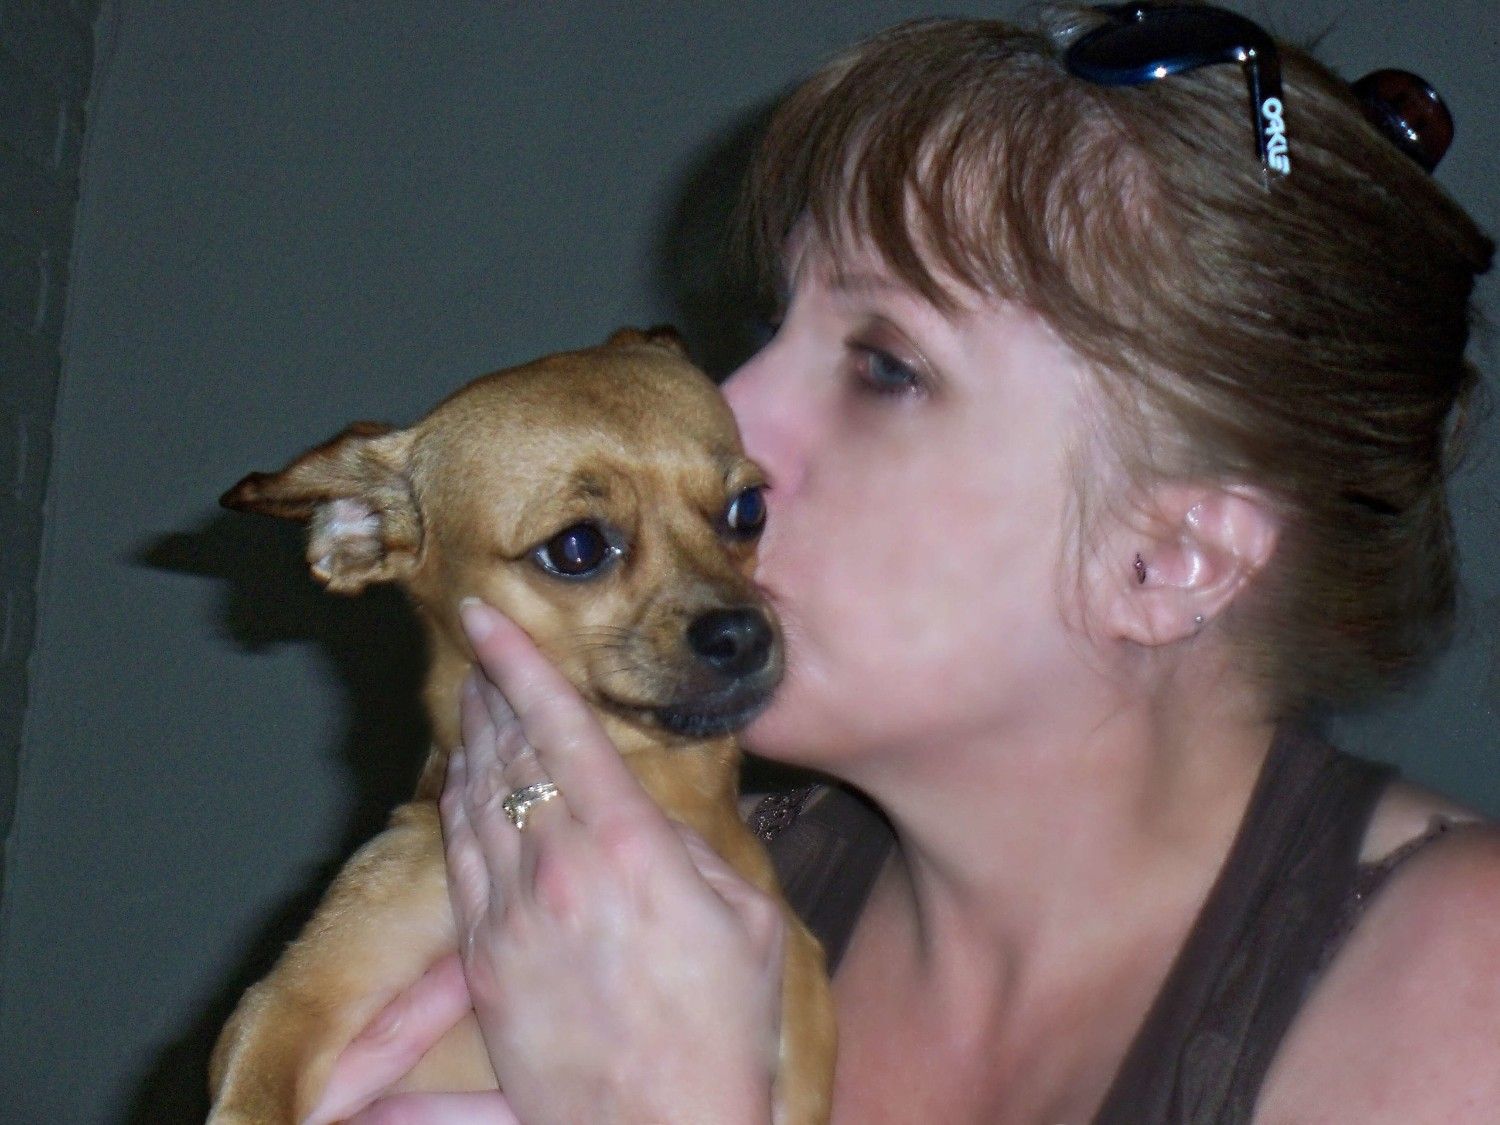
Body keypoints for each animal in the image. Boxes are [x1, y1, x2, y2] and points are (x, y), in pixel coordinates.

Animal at [213, 328, 840, 1125]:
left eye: (749, 510)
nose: (744, 633)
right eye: (577, 547)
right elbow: (256, 1102)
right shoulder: (288, 1006)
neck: (656, 793)